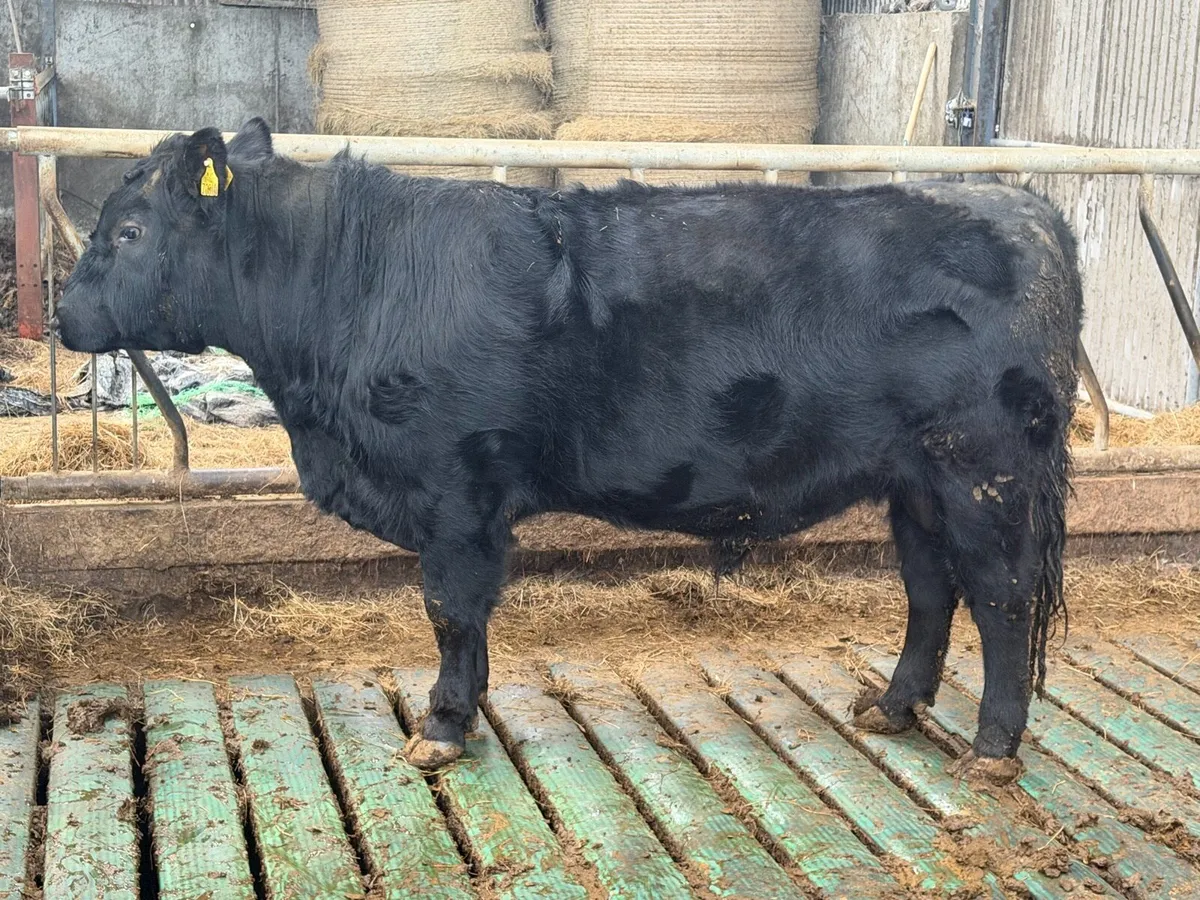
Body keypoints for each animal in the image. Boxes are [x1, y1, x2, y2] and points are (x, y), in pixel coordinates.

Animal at [56, 119, 1082, 784]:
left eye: (130, 231)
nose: (64, 316)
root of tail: (1016, 204)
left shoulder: (456, 490)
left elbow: (450, 610)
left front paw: (441, 728)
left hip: (982, 470)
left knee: (999, 599)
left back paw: (991, 752)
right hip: (916, 482)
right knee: (931, 589)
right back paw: (893, 707)